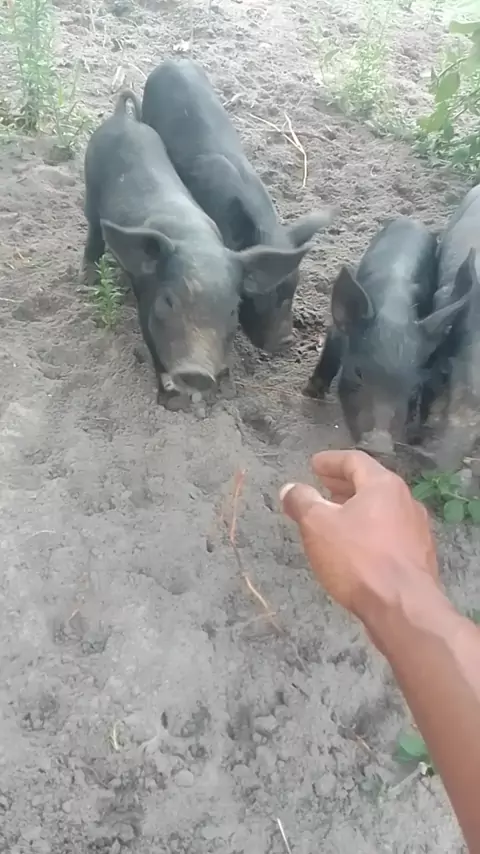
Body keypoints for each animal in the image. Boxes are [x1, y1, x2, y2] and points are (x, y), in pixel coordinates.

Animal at [81, 89, 316, 400]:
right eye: (169, 301)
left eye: (233, 309)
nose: (198, 372)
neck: (196, 241)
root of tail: (122, 118)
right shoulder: (146, 304)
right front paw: (170, 399)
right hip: (90, 191)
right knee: (93, 232)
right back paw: (87, 278)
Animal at [304, 216, 470, 456]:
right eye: (358, 372)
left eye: (413, 389)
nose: (379, 443)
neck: (393, 313)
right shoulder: (338, 332)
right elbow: (329, 357)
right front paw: (310, 393)